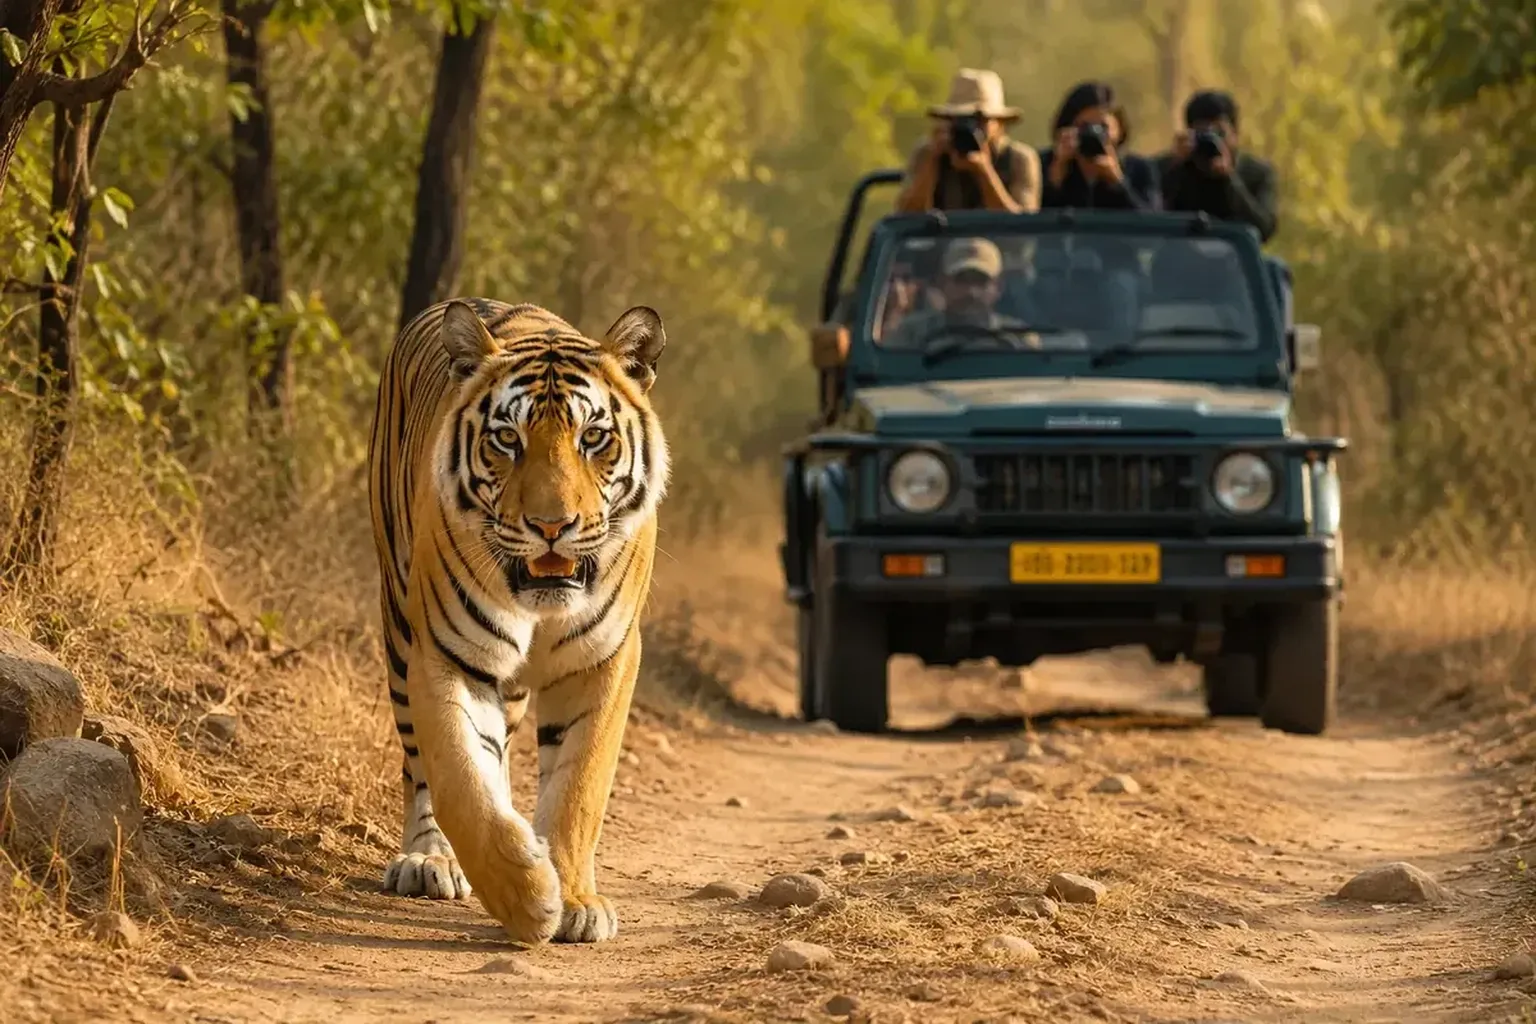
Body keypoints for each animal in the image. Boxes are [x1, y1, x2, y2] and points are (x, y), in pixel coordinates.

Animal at [366, 297, 669, 944]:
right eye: (507, 439)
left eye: (593, 437)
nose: (552, 526)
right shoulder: (446, 653)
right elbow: (460, 780)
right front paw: (527, 898)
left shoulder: (605, 661)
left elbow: (579, 787)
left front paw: (575, 900)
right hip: (399, 631)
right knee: (423, 769)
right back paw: (428, 860)